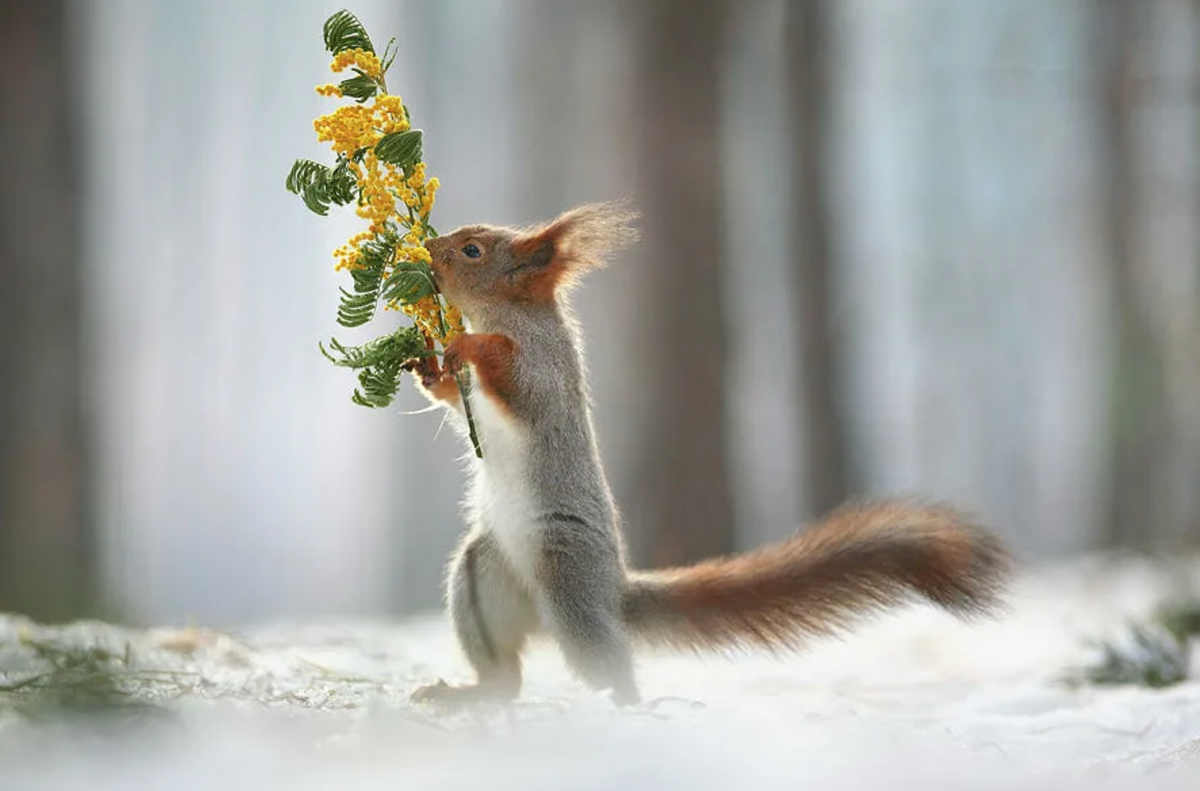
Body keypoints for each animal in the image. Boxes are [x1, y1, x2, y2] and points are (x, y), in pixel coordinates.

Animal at [408, 201, 1008, 710]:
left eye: (472, 250)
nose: (429, 247)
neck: (507, 315)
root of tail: (613, 591)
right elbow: (454, 399)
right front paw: (429, 367)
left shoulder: (544, 368)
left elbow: (517, 382)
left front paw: (469, 347)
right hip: (481, 578)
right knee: (505, 676)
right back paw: (470, 694)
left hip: (568, 579)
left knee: (605, 661)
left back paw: (630, 709)